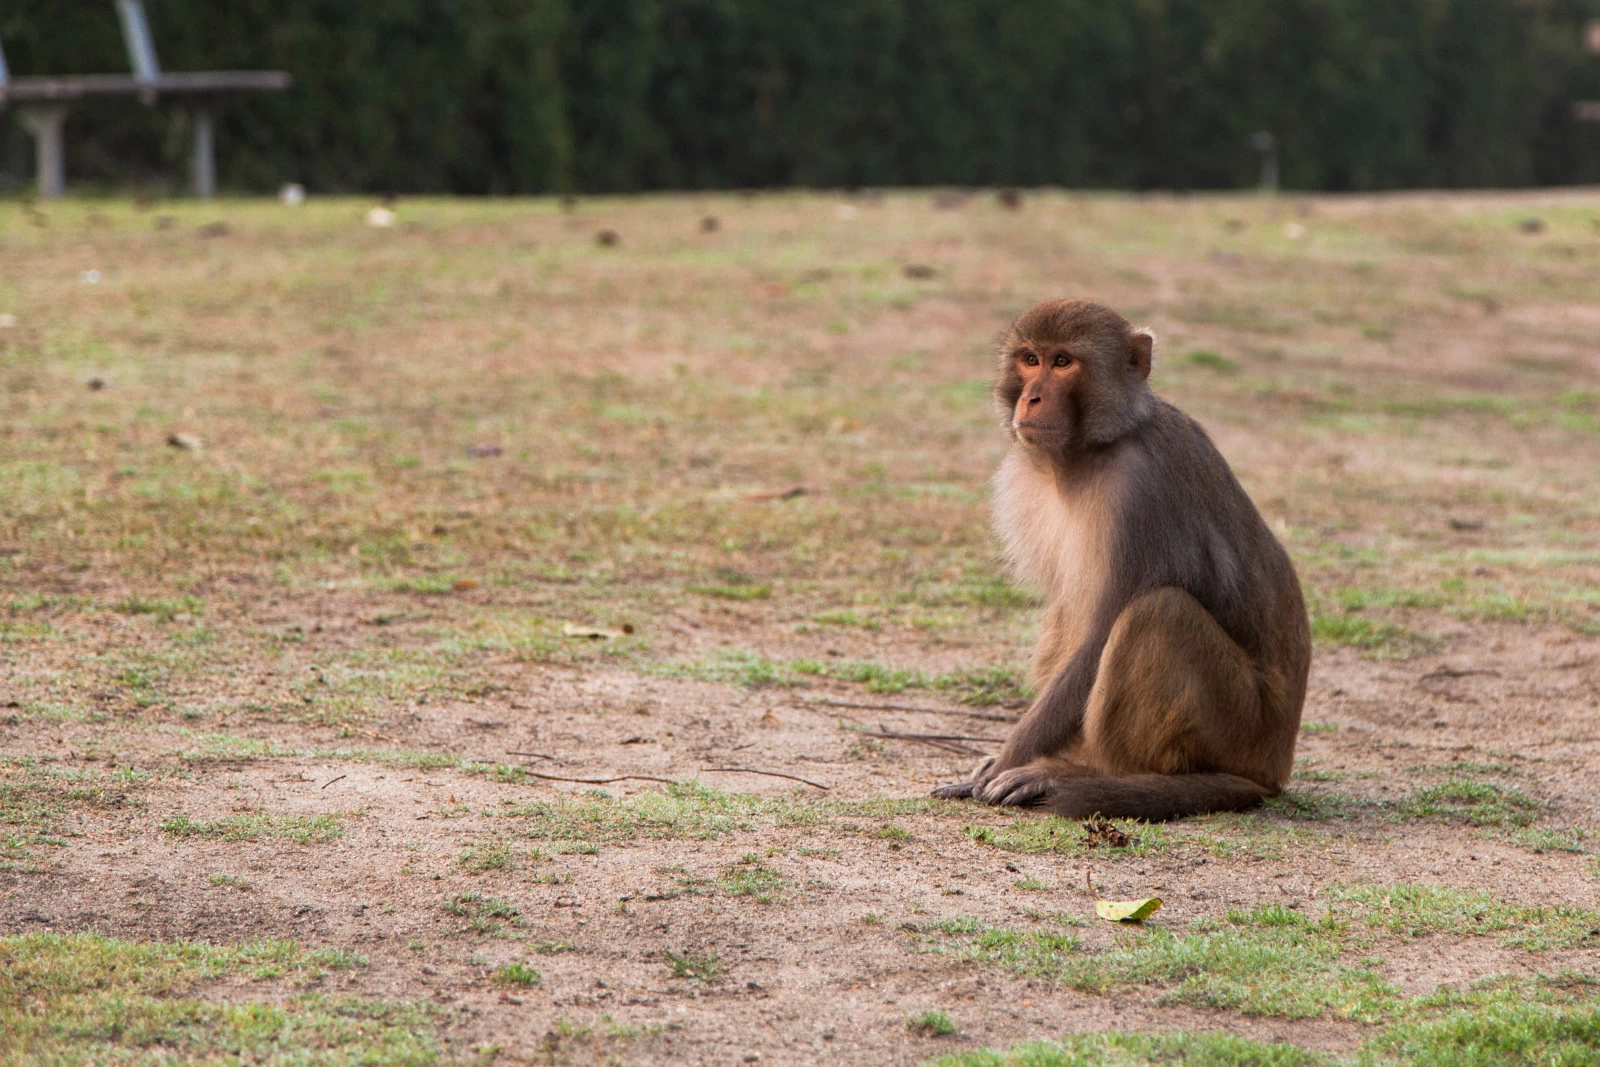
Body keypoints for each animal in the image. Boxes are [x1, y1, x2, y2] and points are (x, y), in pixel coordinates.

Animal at [934, 299, 1305, 819]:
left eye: (1063, 362)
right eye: (1030, 359)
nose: (1032, 399)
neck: (1095, 448)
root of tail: (1272, 769)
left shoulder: (1138, 490)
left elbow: (1103, 629)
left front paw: (1004, 765)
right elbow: (1073, 615)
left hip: (1240, 728)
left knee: (1158, 612)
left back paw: (1097, 775)